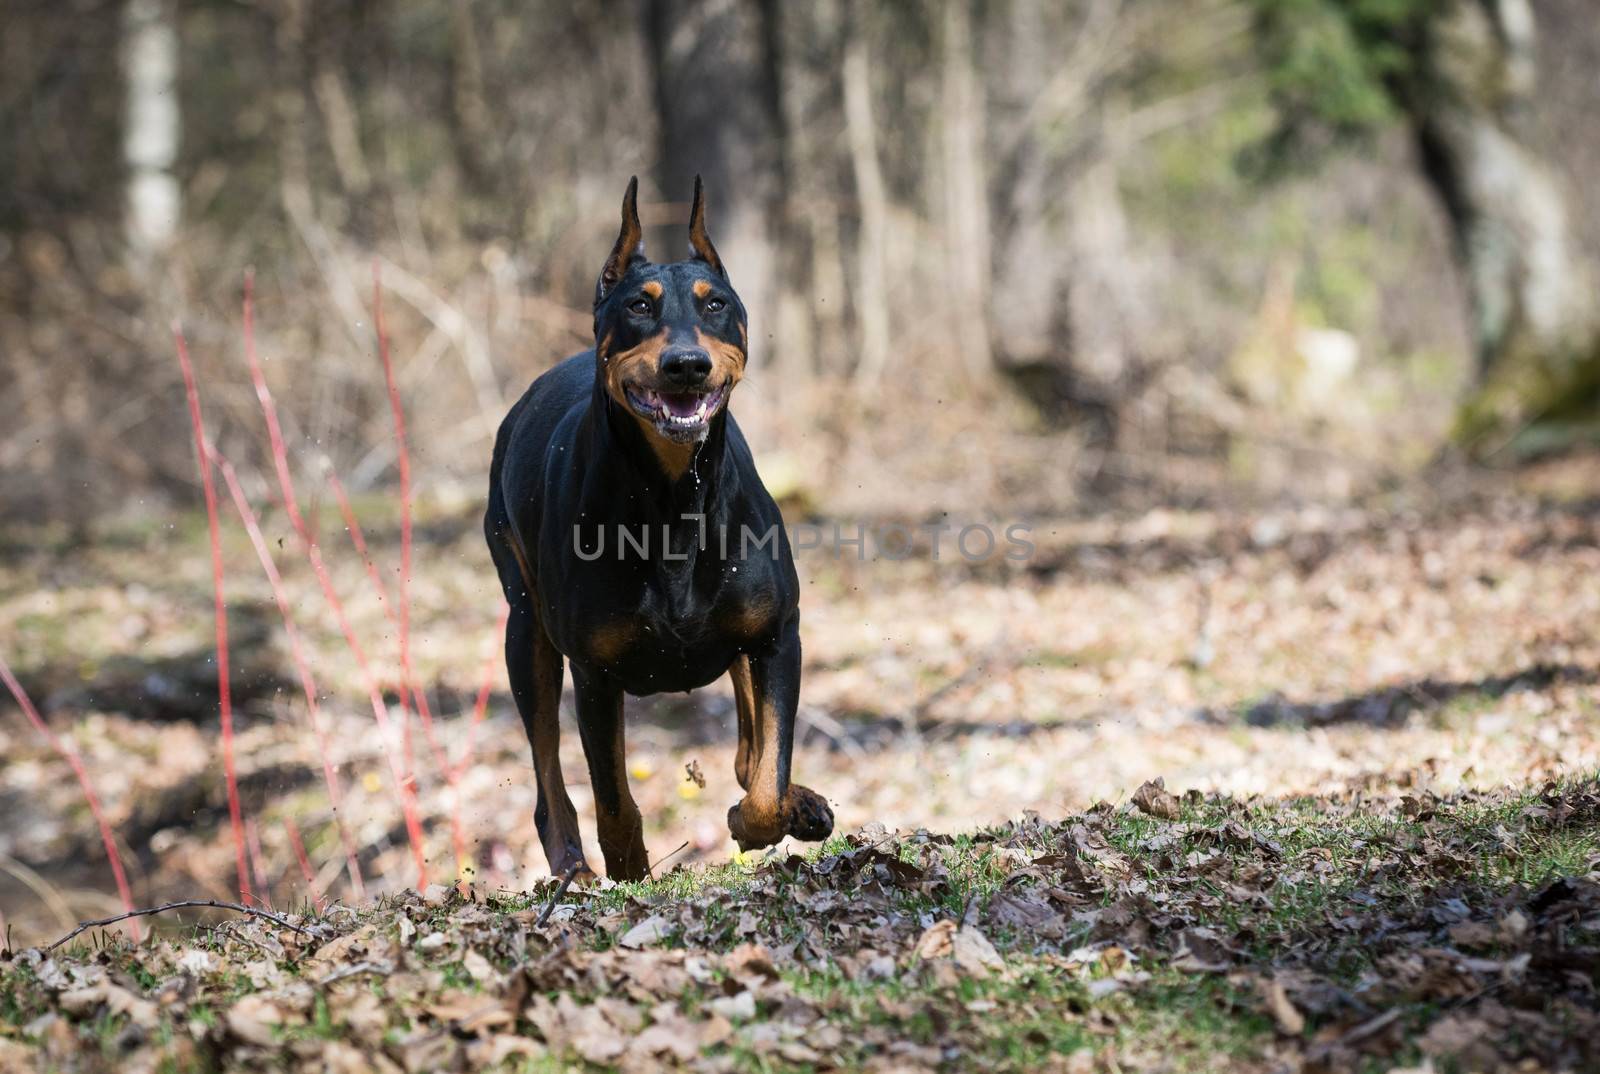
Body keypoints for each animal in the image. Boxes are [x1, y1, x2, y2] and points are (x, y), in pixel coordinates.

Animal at [483, 176, 838, 883]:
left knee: (750, 745)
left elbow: (767, 772)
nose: (686, 364)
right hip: (525, 629)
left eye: (716, 303)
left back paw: (801, 803)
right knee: (546, 769)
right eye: (639, 307)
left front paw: (765, 815)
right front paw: (628, 868)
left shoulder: (777, 634)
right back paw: (572, 866)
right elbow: (613, 797)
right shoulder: (593, 670)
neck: (675, 496)